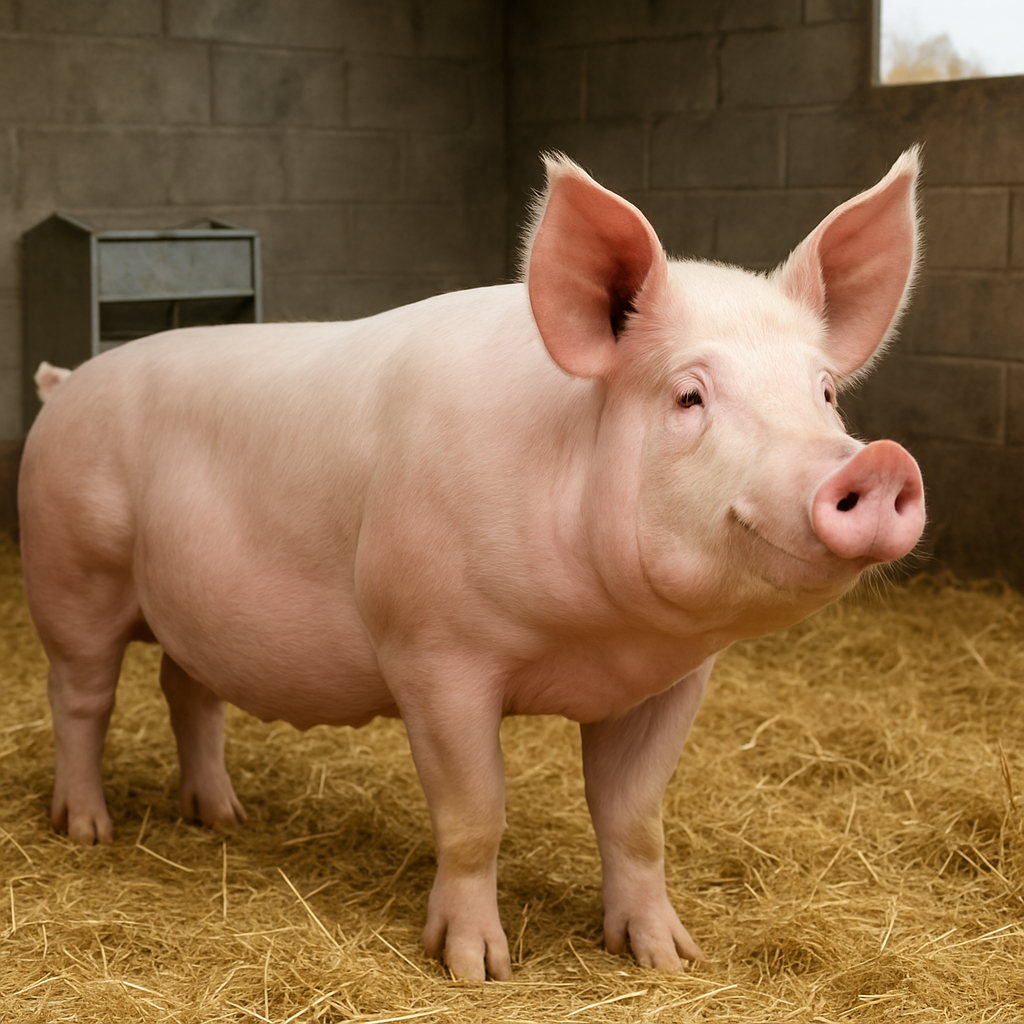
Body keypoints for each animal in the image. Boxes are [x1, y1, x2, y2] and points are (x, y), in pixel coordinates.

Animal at [18, 149, 925, 981]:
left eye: (825, 393)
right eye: (688, 395)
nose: (876, 461)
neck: (598, 641)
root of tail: (65, 383)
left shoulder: (673, 681)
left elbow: (634, 818)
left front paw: (669, 960)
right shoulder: (431, 650)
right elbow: (473, 814)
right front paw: (476, 969)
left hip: (186, 605)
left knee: (189, 692)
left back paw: (222, 819)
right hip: (72, 572)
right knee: (81, 698)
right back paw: (88, 830)